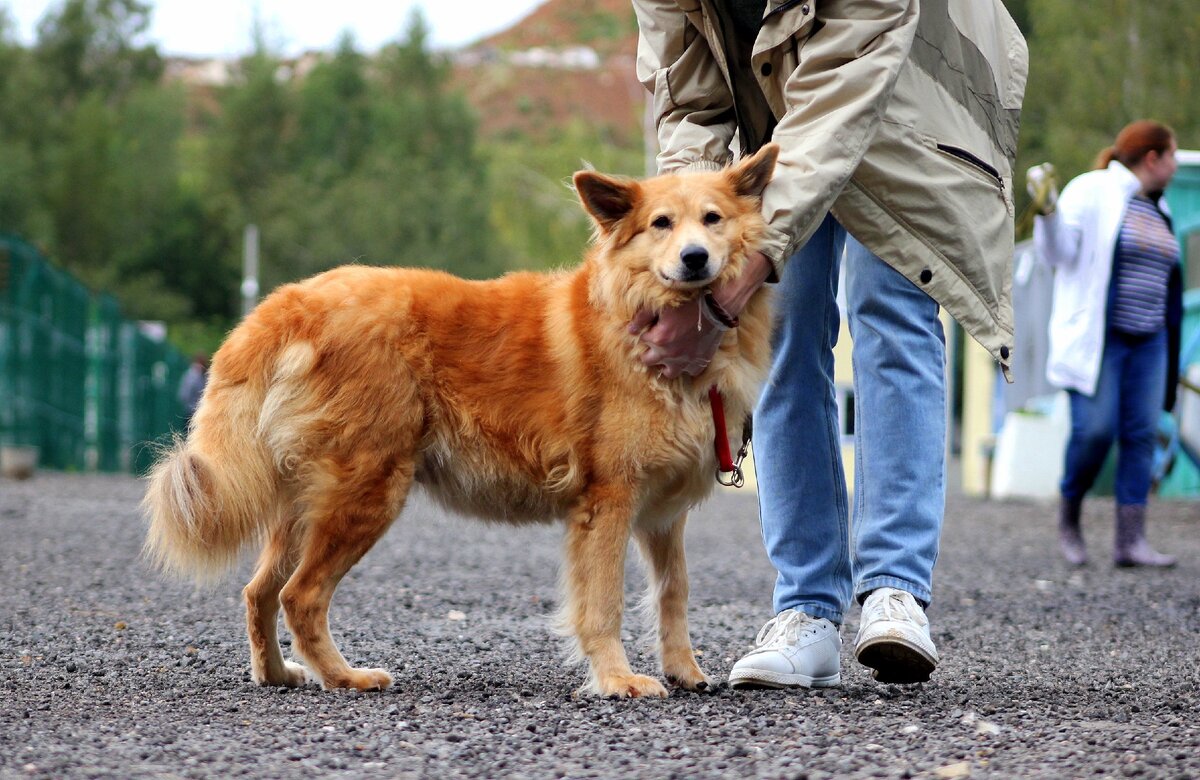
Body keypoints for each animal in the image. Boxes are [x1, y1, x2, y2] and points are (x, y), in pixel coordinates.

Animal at [142, 142, 777, 696]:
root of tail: (291, 303)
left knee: (259, 592)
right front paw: (618, 679)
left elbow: (674, 594)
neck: (639, 315)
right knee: (300, 596)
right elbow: (602, 605)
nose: (695, 258)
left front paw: (684, 670)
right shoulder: (608, 502)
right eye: (661, 224)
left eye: (713, 219)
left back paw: (277, 674)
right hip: (366, 495)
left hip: (306, 506)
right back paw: (344, 677)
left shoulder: (663, 515)